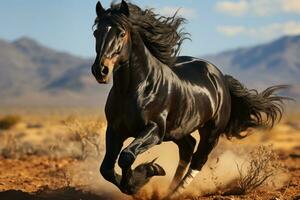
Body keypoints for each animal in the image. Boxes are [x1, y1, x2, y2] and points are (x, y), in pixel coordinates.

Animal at [92, 0, 290, 197]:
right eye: (95, 32)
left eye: (122, 33)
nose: (100, 70)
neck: (136, 88)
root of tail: (221, 78)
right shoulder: (115, 130)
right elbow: (107, 168)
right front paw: (141, 178)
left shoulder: (155, 130)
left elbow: (126, 157)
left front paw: (144, 176)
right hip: (178, 130)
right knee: (187, 148)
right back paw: (169, 188)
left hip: (211, 132)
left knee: (198, 160)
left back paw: (174, 192)